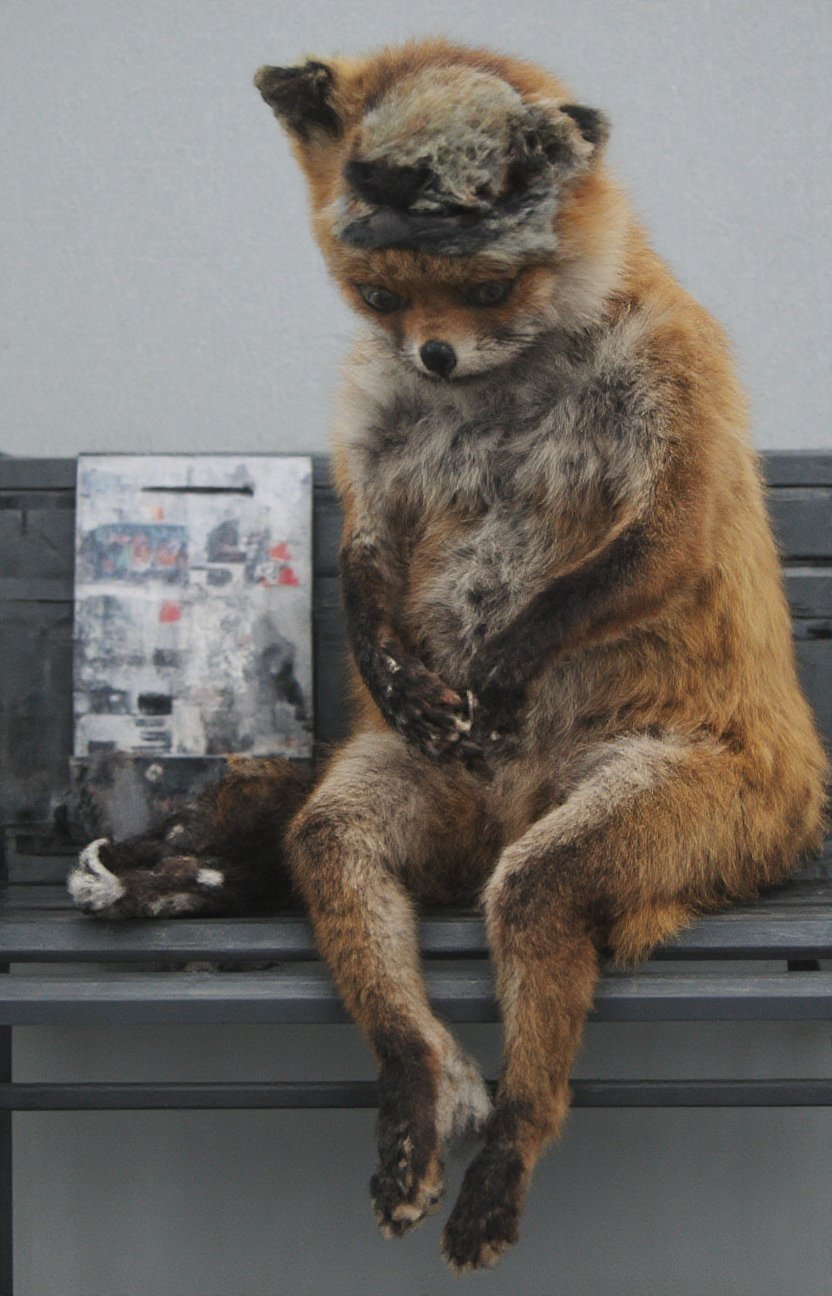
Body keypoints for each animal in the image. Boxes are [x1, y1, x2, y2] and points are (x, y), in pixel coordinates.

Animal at [68, 35, 824, 1270]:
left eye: (486, 287)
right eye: (378, 294)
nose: (430, 354)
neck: (507, 389)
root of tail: (502, 822)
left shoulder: (678, 421)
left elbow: (631, 560)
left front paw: (514, 653)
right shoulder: (376, 455)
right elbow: (367, 560)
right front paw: (399, 669)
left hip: (601, 834)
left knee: (535, 967)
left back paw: (500, 1170)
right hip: (371, 814)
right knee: (350, 904)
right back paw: (417, 1103)